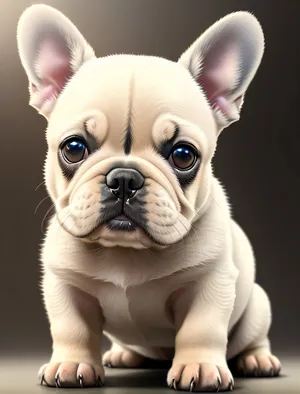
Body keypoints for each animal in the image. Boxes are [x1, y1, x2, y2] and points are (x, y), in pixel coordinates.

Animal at [17, 4, 282, 392]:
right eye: (74, 148)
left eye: (184, 155)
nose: (124, 178)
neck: (127, 252)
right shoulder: (63, 283)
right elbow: (71, 328)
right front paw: (71, 364)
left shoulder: (212, 281)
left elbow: (201, 328)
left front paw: (200, 367)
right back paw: (123, 354)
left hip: (258, 306)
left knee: (253, 336)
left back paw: (257, 359)